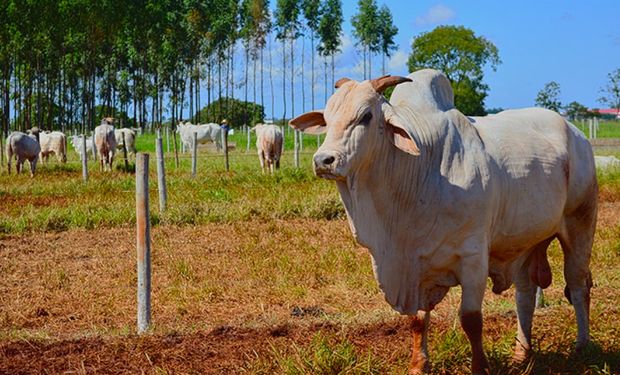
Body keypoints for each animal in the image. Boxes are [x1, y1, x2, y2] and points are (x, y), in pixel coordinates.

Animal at [288, 68, 600, 375]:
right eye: (327, 118)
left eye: (366, 116)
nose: (323, 160)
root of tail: (576, 133)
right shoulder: (416, 265)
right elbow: (417, 320)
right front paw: (418, 365)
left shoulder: (473, 258)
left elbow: (471, 319)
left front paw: (480, 368)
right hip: (525, 242)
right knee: (525, 294)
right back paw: (522, 354)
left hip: (580, 223)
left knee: (577, 284)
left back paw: (582, 346)